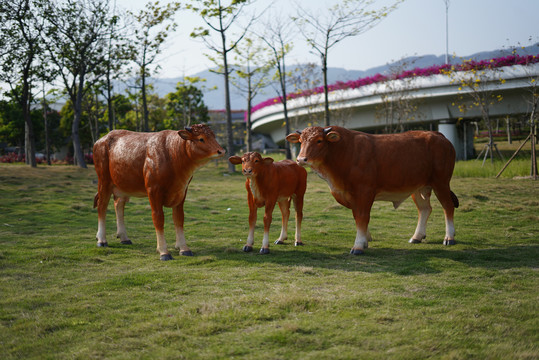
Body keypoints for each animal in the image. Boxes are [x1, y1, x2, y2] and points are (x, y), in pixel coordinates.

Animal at [94, 125, 225, 260]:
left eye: (213, 136)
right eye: (201, 139)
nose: (221, 151)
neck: (173, 154)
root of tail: (102, 139)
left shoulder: (182, 191)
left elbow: (179, 218)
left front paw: (183, 248)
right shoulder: (153, 189)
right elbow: (158, 218)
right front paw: (163, 251)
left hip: (122, 185)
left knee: (119, 205)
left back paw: (124, 238)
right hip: (104, 181)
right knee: (102, 206)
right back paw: (102, 240)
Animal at [286, 125, 460, 255]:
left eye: (319, 140)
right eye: (301, 141)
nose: (301, 159)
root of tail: (437, 135)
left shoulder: (365, 191)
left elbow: (362, 217)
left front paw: (358, 246)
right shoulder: (352, 195)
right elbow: (357, 217)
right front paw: (364, 241)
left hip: (441, 182)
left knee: (448, 206)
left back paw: (449, 238)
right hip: (418, 187)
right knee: (425, 209)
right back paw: (416, 237)